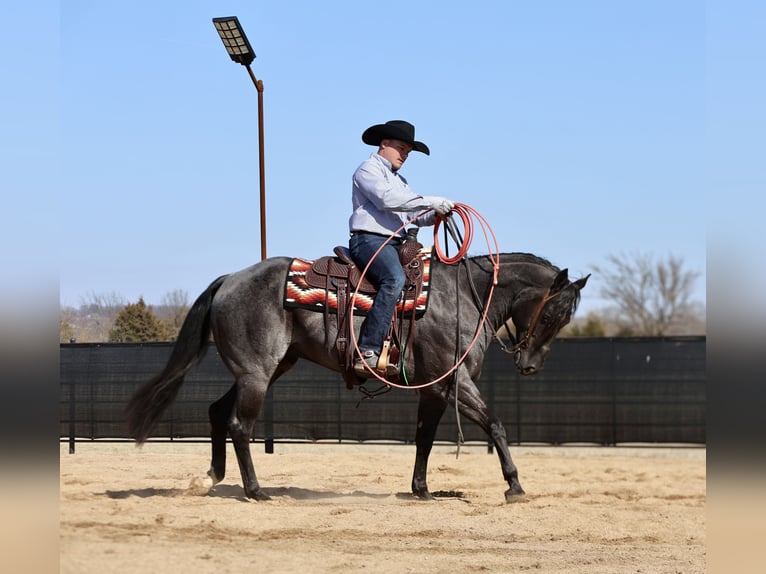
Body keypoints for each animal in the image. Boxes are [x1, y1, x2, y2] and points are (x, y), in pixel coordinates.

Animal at [129, 250, 592, 502]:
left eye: (564, 318)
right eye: (549, 314)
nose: (529, 365)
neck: (462, 297)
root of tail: (230, 280)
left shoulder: (434, 391)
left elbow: (424, 439)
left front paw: (422, 489)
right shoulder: (454, 382)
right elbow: (495, 424)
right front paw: (514, 485)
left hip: (265, 371)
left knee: (216, 412)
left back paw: (211, 477)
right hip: (257, 374)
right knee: (240, 425)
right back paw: (256, 490)